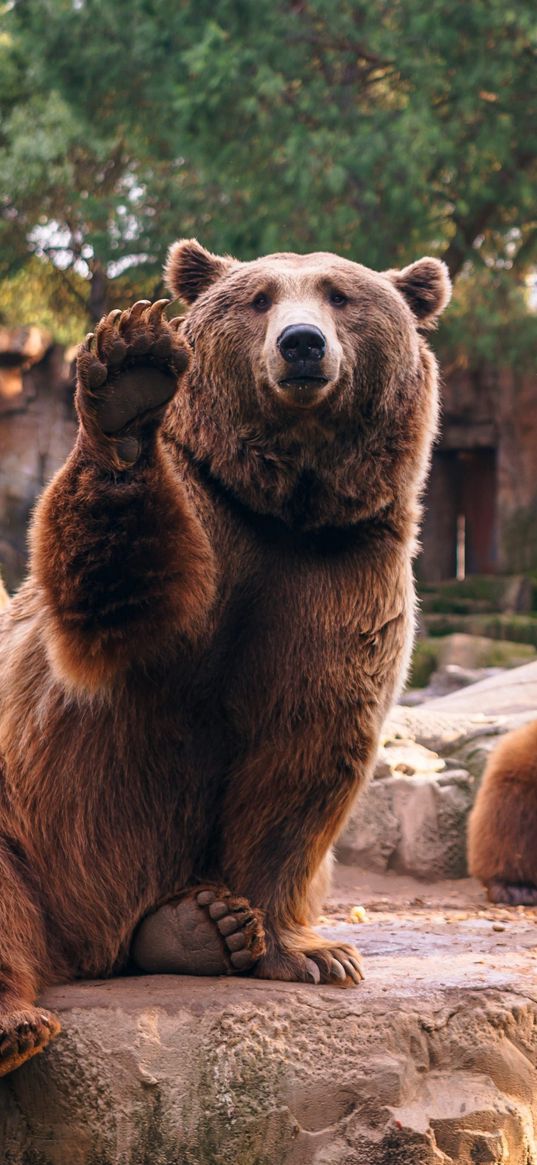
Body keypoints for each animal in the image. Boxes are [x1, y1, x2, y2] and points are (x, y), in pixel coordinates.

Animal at [0, 243, 447, 1071]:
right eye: (259, 297)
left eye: (341, 295)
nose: (301, 344)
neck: (283, 507)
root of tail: (82, 949)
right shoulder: (204, 528)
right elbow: (108, 601)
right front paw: (132, 375)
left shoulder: (337, 574)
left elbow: (301, 758)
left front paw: (309, 951)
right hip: (26, 829)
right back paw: (20, 1023)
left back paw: (200, 926)